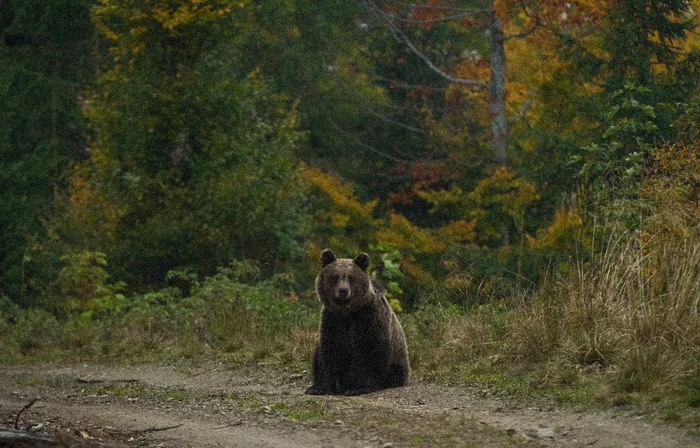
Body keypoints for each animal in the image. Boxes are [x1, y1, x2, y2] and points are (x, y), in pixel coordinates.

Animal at [304, 248, 410, 396]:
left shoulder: (369, 319)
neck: (347, 312)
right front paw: (320, 388)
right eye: (335, 276)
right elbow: (328, 353)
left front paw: (359, 388)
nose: (343, 291)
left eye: (351, 277)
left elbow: (371, 353)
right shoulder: (332, 321)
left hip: (398, 363)